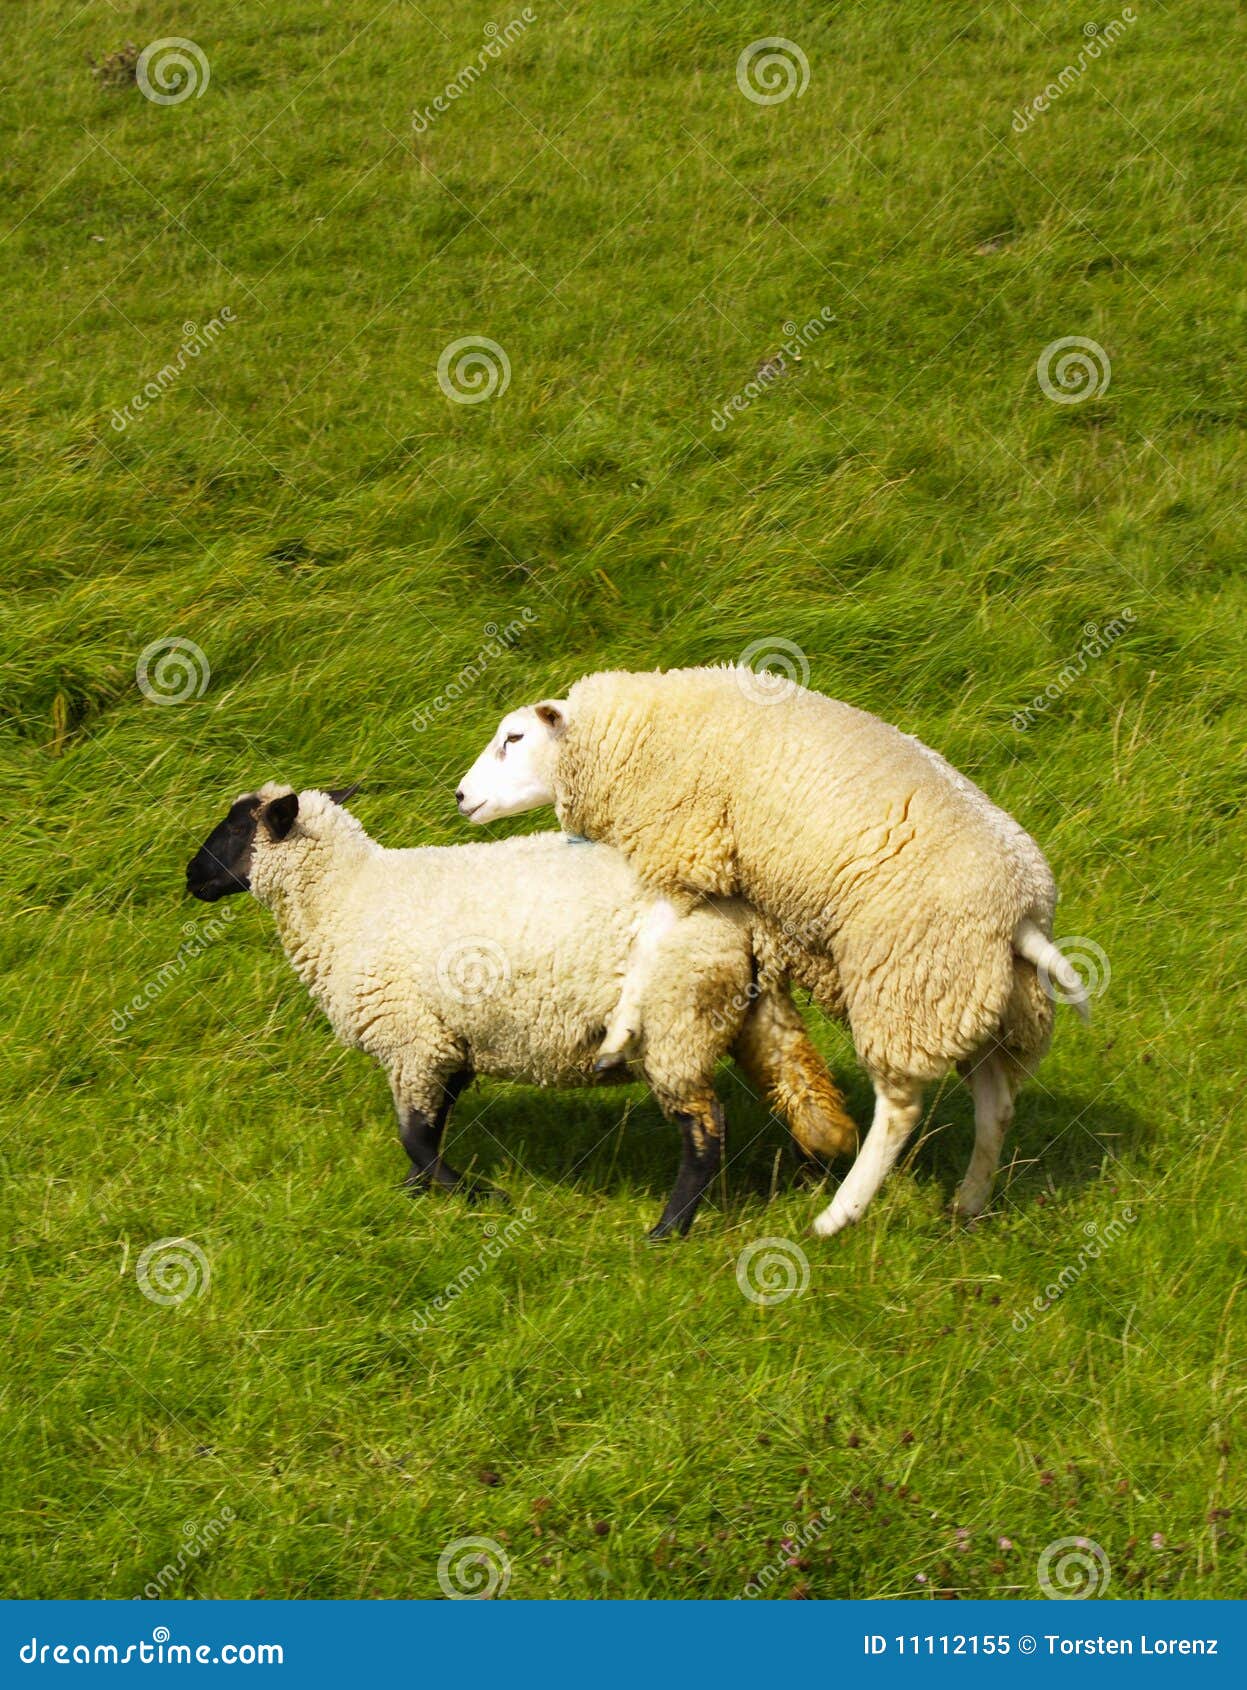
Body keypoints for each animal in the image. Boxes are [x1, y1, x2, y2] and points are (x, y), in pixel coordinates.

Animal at [185, 783, 857, 1239]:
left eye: (235, 829)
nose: (190, 878)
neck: (346, 899)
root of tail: (747, 918)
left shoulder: (413, 1040)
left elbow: (414, 1134)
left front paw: (474, 1195)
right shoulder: (448, 1043)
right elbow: (431, 1128)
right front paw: (420, 1193)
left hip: (677, 1022)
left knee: (704, 1129)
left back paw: (667, 1231)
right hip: (742, 1011)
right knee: (798, 1087)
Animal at [456, 664, 1091, 1235]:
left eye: (514, 739)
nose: (460, 796)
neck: (640, 734)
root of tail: (1022, 908)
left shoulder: (690, 846)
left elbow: (650, 943)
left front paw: (619, 1033)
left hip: (908, 980)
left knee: (901, 1108)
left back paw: (839, 1215)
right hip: (979, 995)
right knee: (997, 1102)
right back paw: (968, 1202)